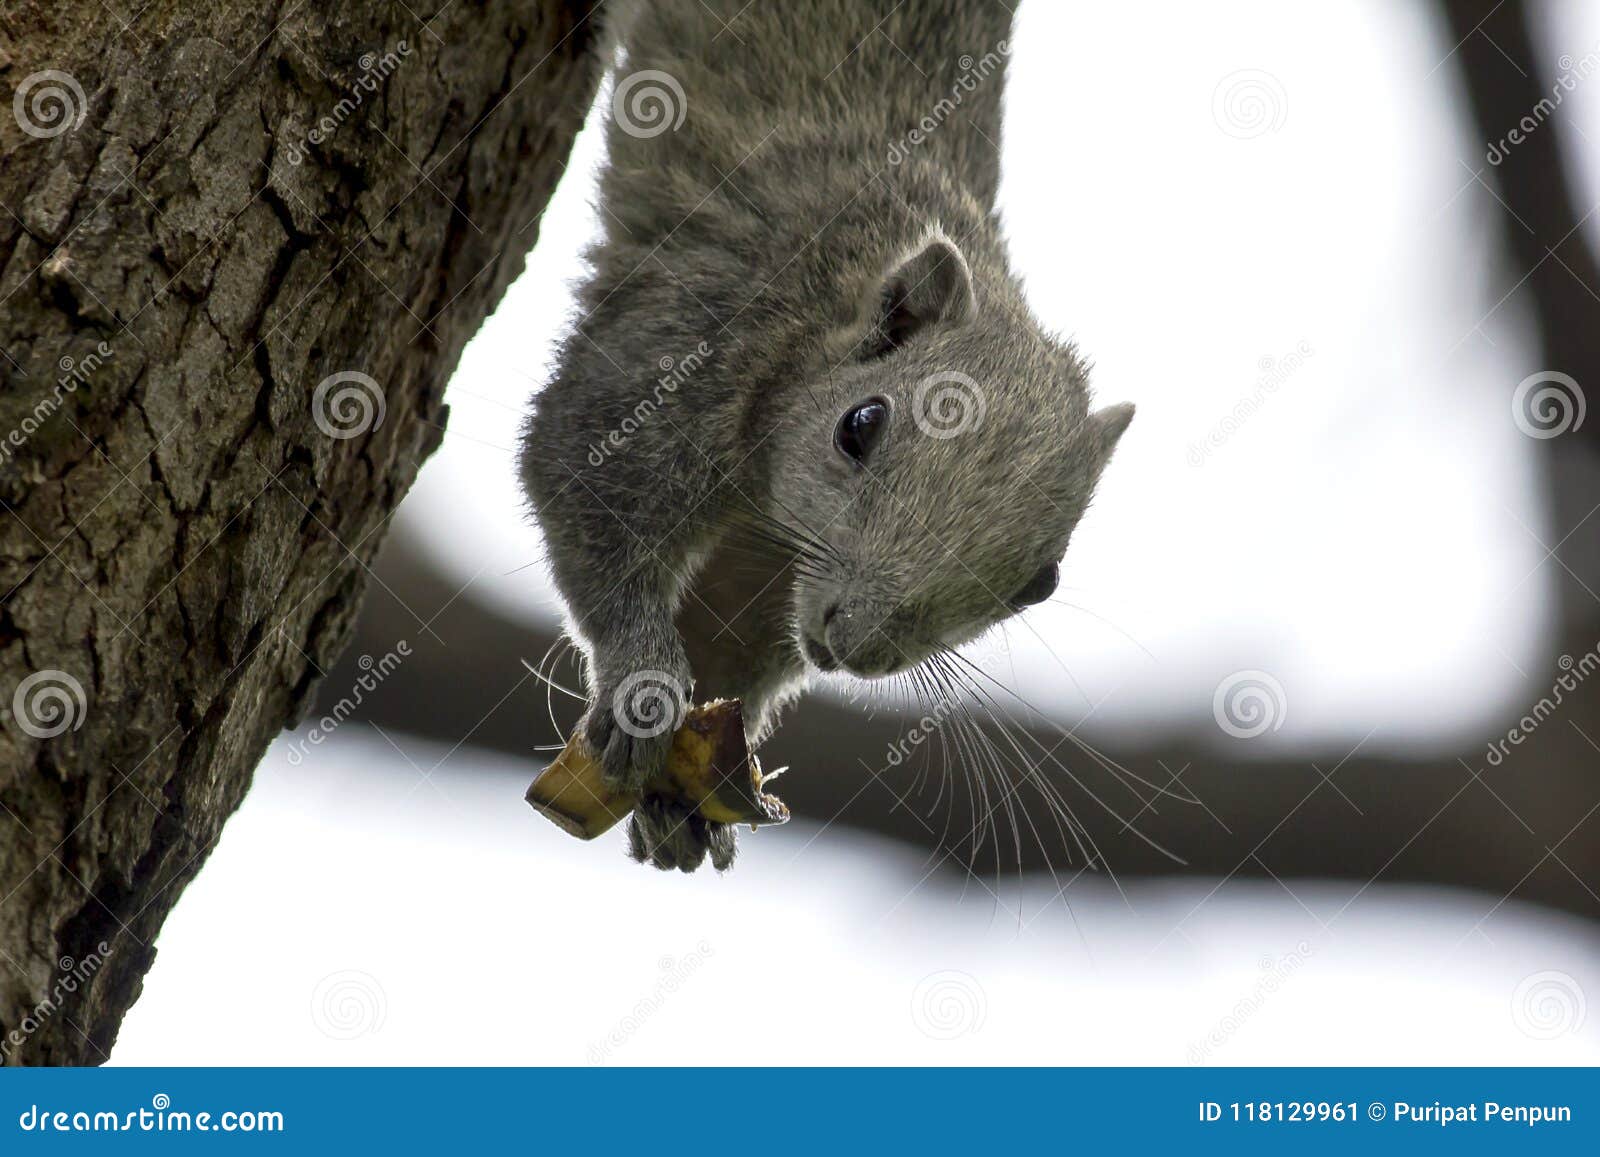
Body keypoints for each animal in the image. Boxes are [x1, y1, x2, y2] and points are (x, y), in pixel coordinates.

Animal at [520, 0, 1134, 872]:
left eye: (1040, 584)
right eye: (860, 425)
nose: (856, 645)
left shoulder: (770, 564)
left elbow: (732, 637)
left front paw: (683, 798)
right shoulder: (699, 332)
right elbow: (576, 465)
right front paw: (643, 683)